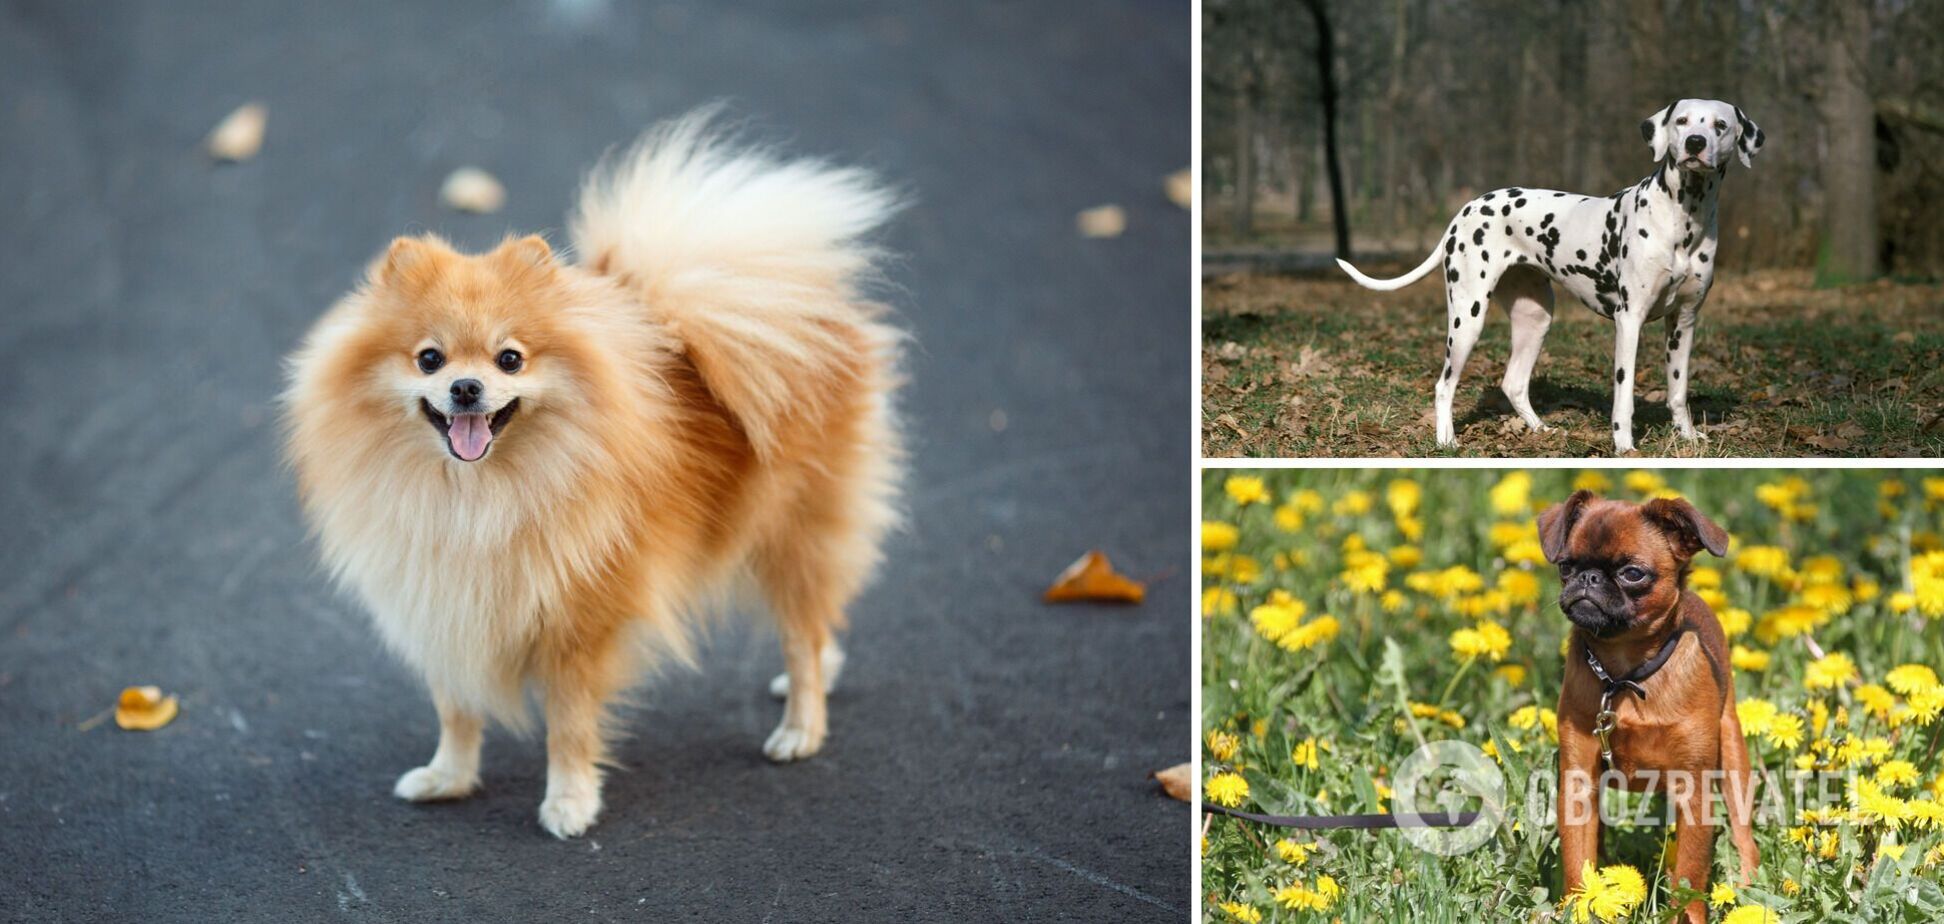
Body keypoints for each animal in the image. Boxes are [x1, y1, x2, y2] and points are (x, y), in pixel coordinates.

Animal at [281, 112, 902, 844]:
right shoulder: (447, 606)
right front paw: (448, 778)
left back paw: (801, 726)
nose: (465, 387)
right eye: (429, 358)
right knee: (820, 622)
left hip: (789, 531)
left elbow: (569, 728)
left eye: (510, 359)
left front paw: (570, 803)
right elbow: (456, 710)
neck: (475, 498)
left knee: (802, 632)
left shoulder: (579, 625)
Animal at [1337, 99, 1765, 453]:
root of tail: (1466, 208)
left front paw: (1688, 437)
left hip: (1535, 319)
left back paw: (1540, 430)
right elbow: (1624, 394)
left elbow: (1678, 390)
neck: (1683, 218)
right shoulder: (1629, 321)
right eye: (1682, 121)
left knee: (1513, 383)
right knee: (1444, 384)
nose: (1695, 142)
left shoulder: (1684, 321)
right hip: (1467, 318)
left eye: (1720, 125)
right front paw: (1624, 445)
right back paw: (1446, 441)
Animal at [1547, 488, 1765, 922]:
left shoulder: (1695, 791)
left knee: (1744, 834)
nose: (1588, 577)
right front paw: (1578, 908)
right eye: (1565, 566)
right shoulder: (1578, 782)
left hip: (1733, 753)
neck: (1624, 677)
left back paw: (1749, 889)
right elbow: (1578, 858)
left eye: (1633, 573)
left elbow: (1690, 875)